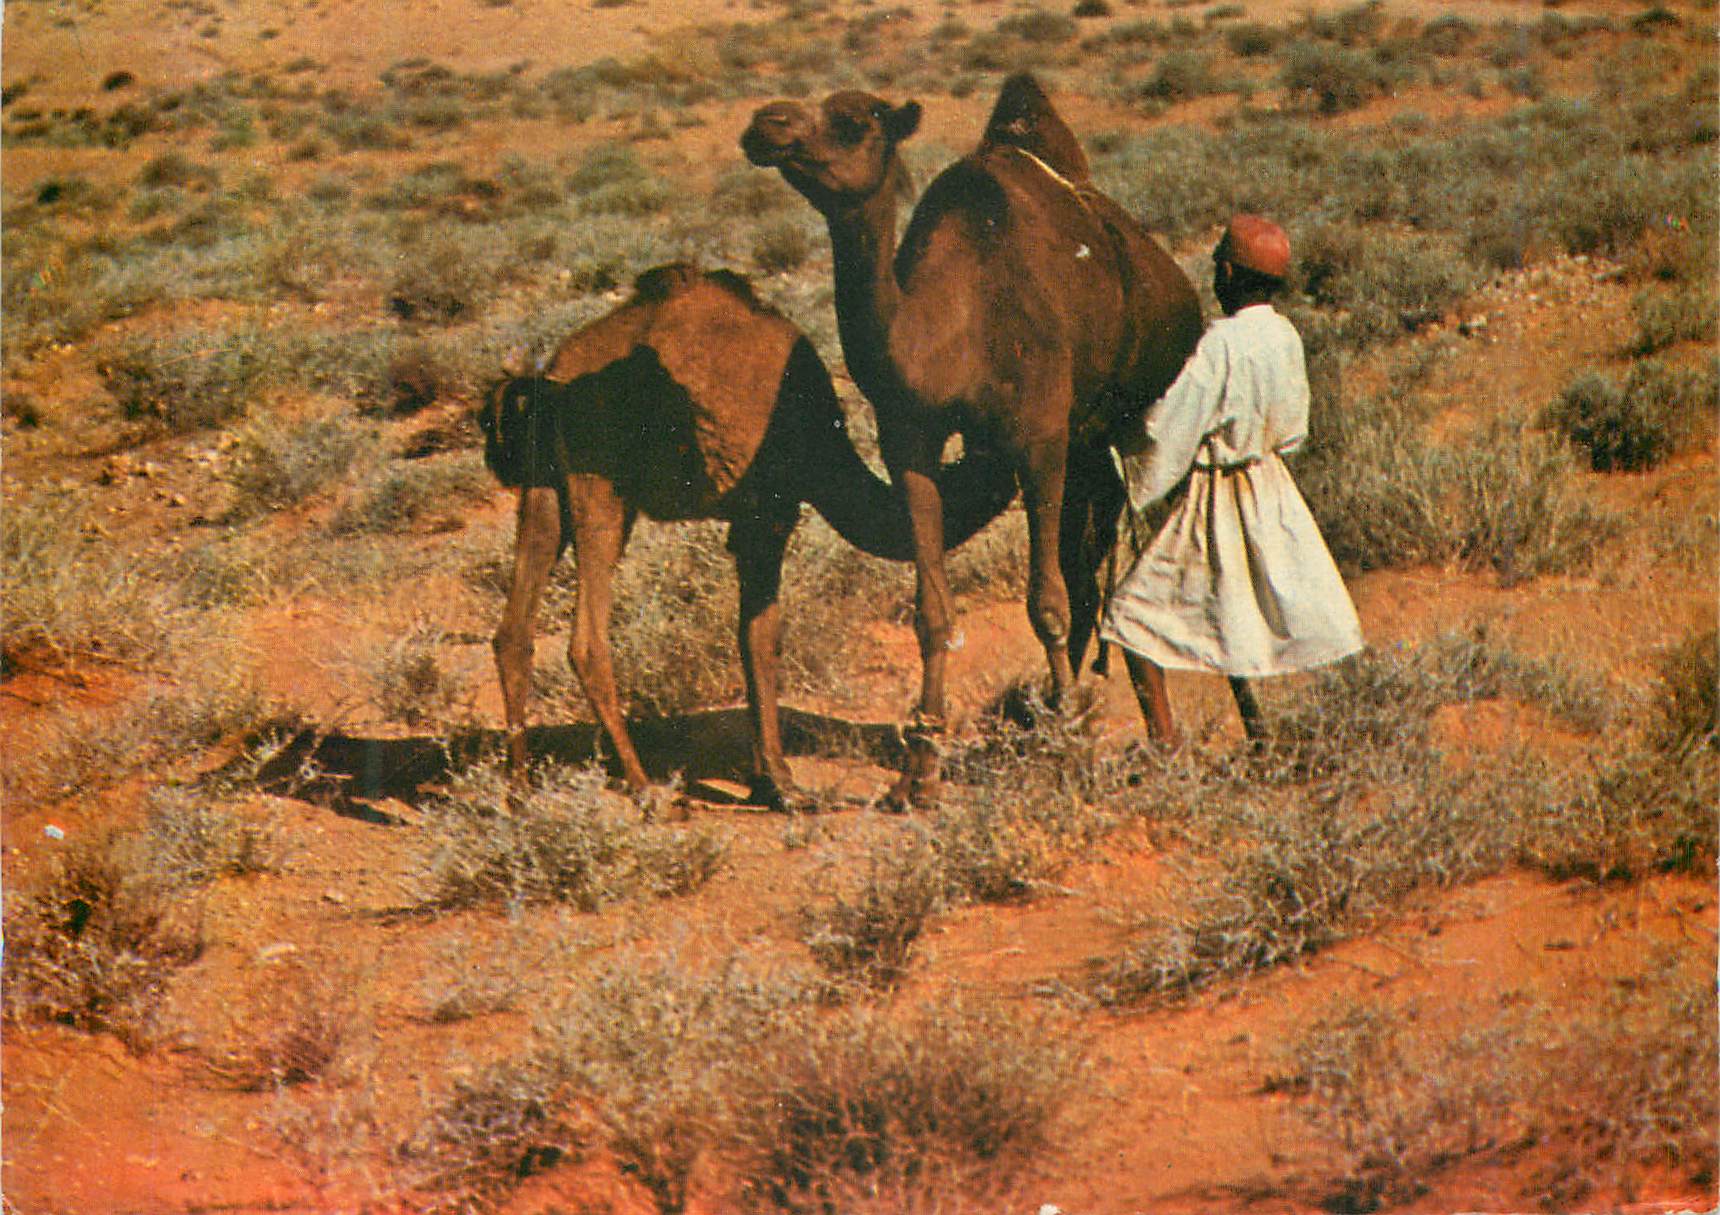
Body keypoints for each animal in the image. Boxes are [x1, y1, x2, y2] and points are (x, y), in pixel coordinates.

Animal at [480, 263, 1015, 811]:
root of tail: (550, 378)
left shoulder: (751, 520)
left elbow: (751, 636)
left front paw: (771, 780)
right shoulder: (770, 511)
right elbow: (762, 637)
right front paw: (782, 784)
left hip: (545, 488)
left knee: (514, 631)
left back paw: (519, 789)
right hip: (601, 487)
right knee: (587, 640)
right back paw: (646, 788)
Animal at [741, 73, 1204, 807]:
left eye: (852, 122)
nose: (767, 122)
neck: (953, 328)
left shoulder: (1039, 439)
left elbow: (1046, 603)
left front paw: (1069, 754)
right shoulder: (911, 442)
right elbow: (933, 608)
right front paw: (918, 776)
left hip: (1151, 410)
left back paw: (1171, 732)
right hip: (1090, 446)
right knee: (1095, 570)